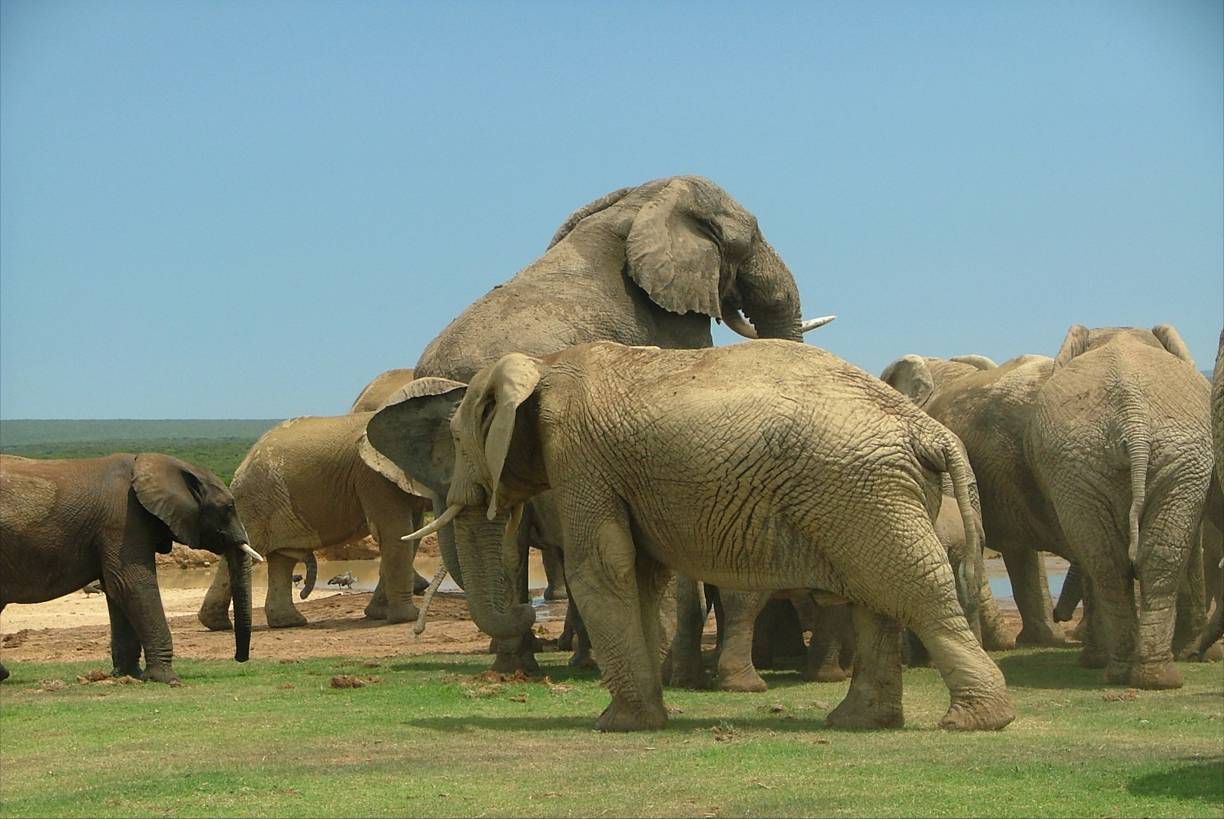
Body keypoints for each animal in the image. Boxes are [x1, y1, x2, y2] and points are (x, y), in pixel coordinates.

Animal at [0, 453, 257, 683]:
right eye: (229, 507)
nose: (239, 658)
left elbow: (116, 591)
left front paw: (128, 676)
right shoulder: (123, 520)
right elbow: (131, 584)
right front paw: (168, 679)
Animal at [197, 408, 432, 630]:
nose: (303, 594)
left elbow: (412, 531)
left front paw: (379, 615)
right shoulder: (373, 475)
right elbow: (394, 531)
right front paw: (406, 618)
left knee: (282, 559)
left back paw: (287, 622)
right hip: (254, 499)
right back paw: (217, 624)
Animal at [376, 341, 1015, 732]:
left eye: (460, 441)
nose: (530, 611)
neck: (543, 363)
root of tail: (929, 429)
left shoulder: (581, 456)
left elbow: (601, 566)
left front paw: (616, 726)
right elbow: (639, 573)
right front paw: (644, 721)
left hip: (860, 492)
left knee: (911, 591)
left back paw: (976, 722)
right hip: (875, 494)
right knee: (875, 600)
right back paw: (858, 722)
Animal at [1024, 325, 1213, 689]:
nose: (1059, 615)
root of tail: (1133, 419)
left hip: (1172, 457)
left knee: (1115, 561)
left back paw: (1139, 675)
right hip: (1087, 465)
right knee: (1120, 561)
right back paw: (1144, 676)